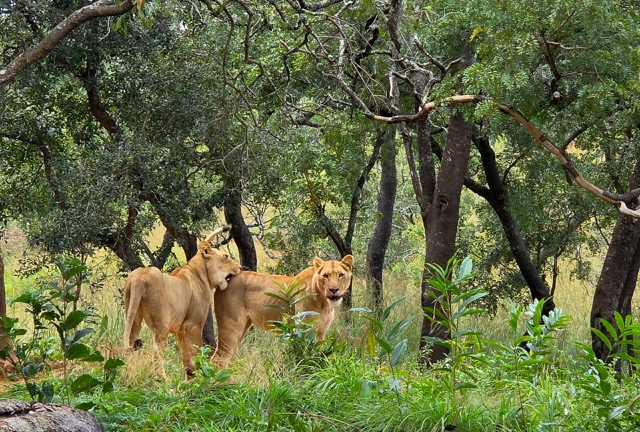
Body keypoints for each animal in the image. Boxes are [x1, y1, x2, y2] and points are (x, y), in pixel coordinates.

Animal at [122, 226, 241, 379]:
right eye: (226, 256)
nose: (240, 267)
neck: (200, 272)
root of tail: (140, 277)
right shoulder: (192, 325)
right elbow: (196, 351)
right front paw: (200, 376)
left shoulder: (180, 331)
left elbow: (186, 357)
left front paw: (190, 378)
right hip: (161, 323)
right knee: (157, 350)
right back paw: (163, 379)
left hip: (133, 314)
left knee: (133, 342)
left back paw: (131, 373)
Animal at [211, 255, 354, 367]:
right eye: (325, 276)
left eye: (341, 275)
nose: (333, 289)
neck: (324, 304)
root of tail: (228, 278)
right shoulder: (304, 330)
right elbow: (306, 357)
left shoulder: (320, 333)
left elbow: (316, 355)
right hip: (231, 326)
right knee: (218, 358)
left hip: (243, 328)